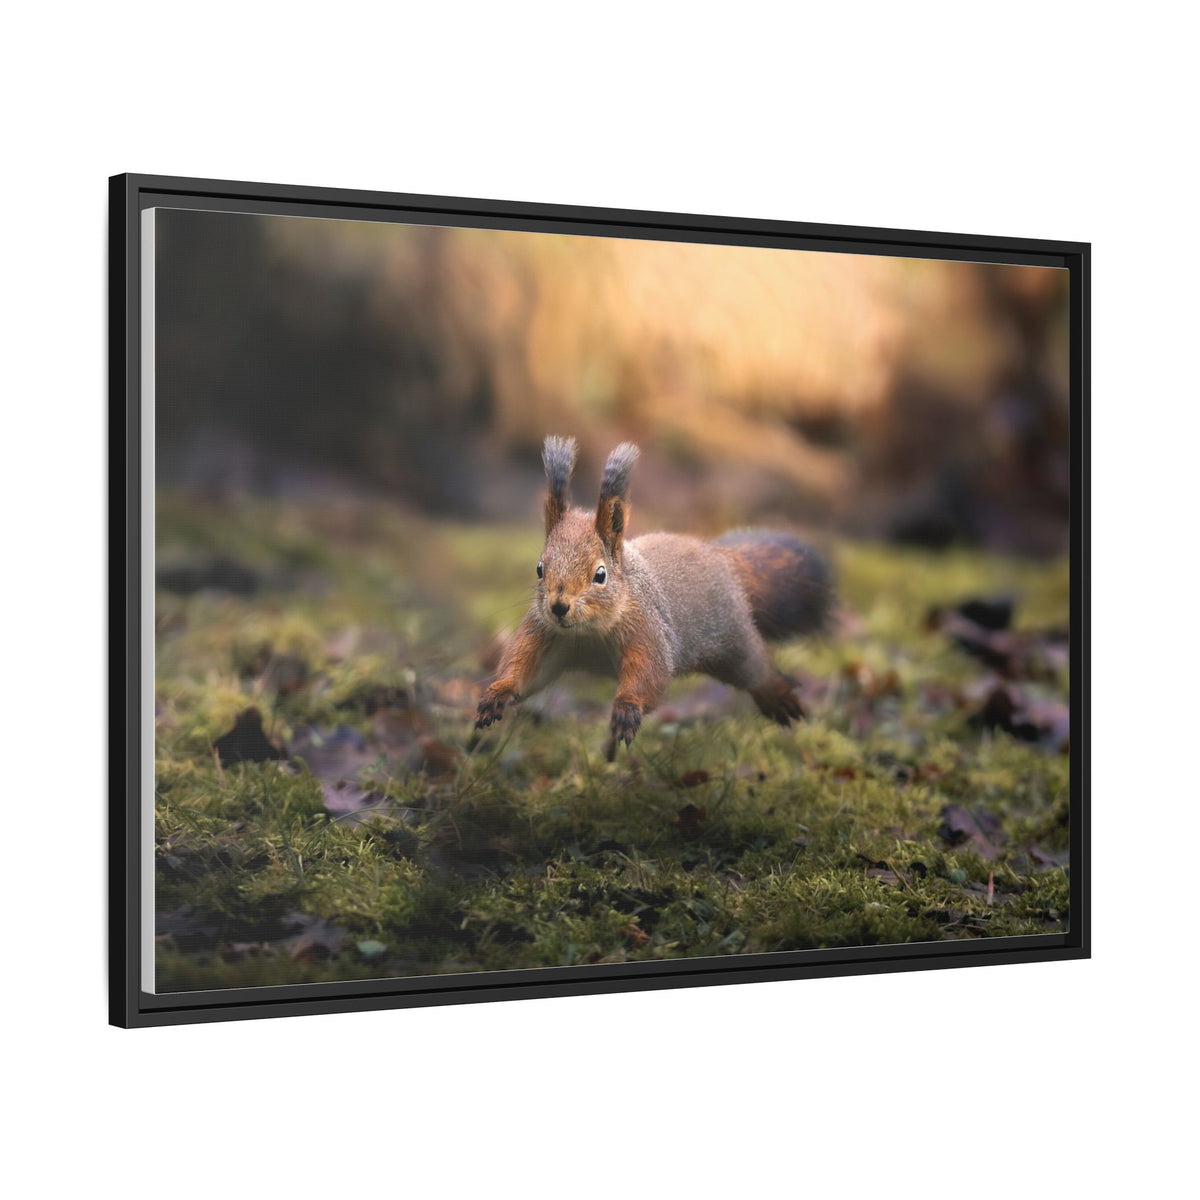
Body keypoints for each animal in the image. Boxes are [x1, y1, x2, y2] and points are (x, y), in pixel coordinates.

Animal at [474, 435, 833, 758]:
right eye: (539, 569)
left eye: (600, 575)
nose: (559, 607)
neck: (587, 634)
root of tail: (722, 558)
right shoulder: (544, 634)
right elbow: (524, 670)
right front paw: (497, 693)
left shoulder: (645, 628)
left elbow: (651, 673)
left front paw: (627, 707)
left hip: (733, 639)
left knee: (756, 666)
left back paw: (778, 693)